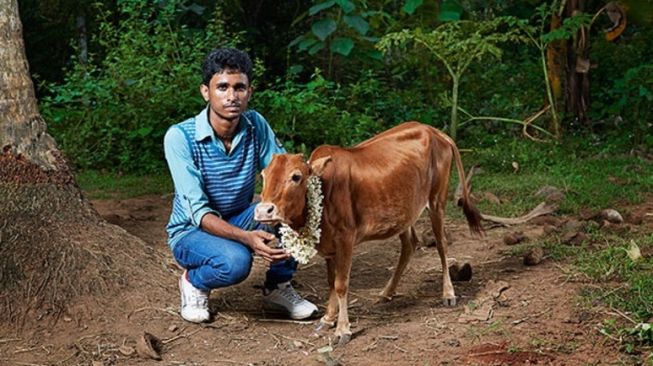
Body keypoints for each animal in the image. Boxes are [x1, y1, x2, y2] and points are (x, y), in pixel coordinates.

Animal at [252, 121, 482, 344]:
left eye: (296, 176)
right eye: (263, 174)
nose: (264, 210)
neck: (324, 189)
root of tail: (435, 132)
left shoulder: (346, 237)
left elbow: (341, 284)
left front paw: (342, 330)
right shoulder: (329, 243)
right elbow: (331, 282)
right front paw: (328, 319)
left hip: (436, 201)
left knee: (442, 244)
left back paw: (448, 293)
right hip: (403, 210)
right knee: (410, 244)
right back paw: (387, 292)